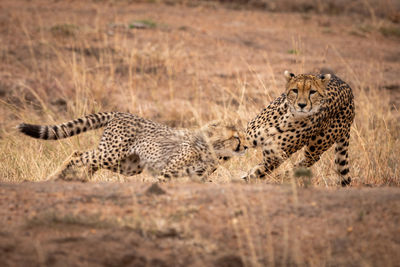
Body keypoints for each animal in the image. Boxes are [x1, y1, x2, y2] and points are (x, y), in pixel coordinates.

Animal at [19, 112, 247, 183]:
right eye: (236, 137)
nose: (245, 146)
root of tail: (120, 113)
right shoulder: (167, 173)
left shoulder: (198, 178)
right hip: (111, 154)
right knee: (77, 154)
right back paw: (54, 177)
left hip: (127, 166)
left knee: (90, 162)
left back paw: (82, 179)